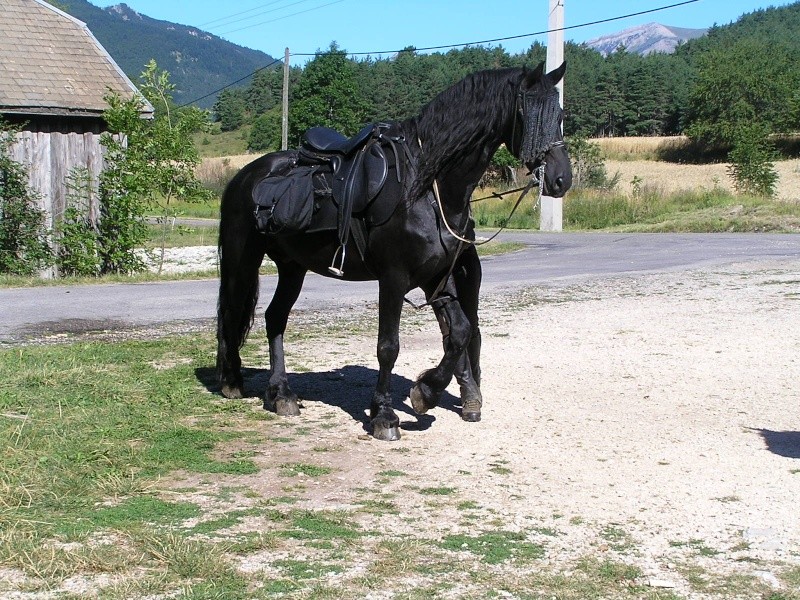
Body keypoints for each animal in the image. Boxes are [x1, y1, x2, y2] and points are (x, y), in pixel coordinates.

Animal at [216, 63, 572, 440]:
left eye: (560, 114)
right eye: (529, 114)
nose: (561, 179)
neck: (426, 187)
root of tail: (247, 175)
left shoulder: (436, 277)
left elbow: (459, 333)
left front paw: (425, 392)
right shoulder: (393, 278)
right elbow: (389, 346)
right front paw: (384, 416)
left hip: (292, 266)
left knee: (275, 318)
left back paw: (281, 394)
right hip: (243, 260)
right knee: (232, 311)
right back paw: (232, 381)